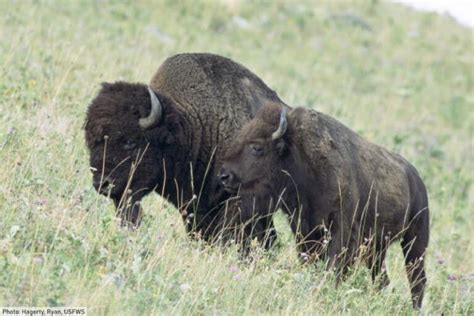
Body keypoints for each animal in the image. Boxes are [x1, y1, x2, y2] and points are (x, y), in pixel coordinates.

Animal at [218, 102, 430, 308]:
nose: (224, 176)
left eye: (257, 147)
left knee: (417, 278)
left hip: (415, 241)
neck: (301, 160)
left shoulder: (342, 230)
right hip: (377, 248)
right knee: (382, 278)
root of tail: (417, 179)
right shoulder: (305, 230)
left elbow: (334, 265)